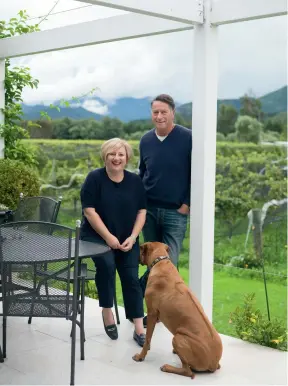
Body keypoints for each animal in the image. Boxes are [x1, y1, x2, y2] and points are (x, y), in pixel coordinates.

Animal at [133, 243, 223, 378]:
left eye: (140, 249)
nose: (135, 257)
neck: (160, 261)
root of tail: (213, 363)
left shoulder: (152, 314)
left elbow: (147, 340)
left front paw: (141, 356)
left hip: (178, 338)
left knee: (189, 372)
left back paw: (168, 367)